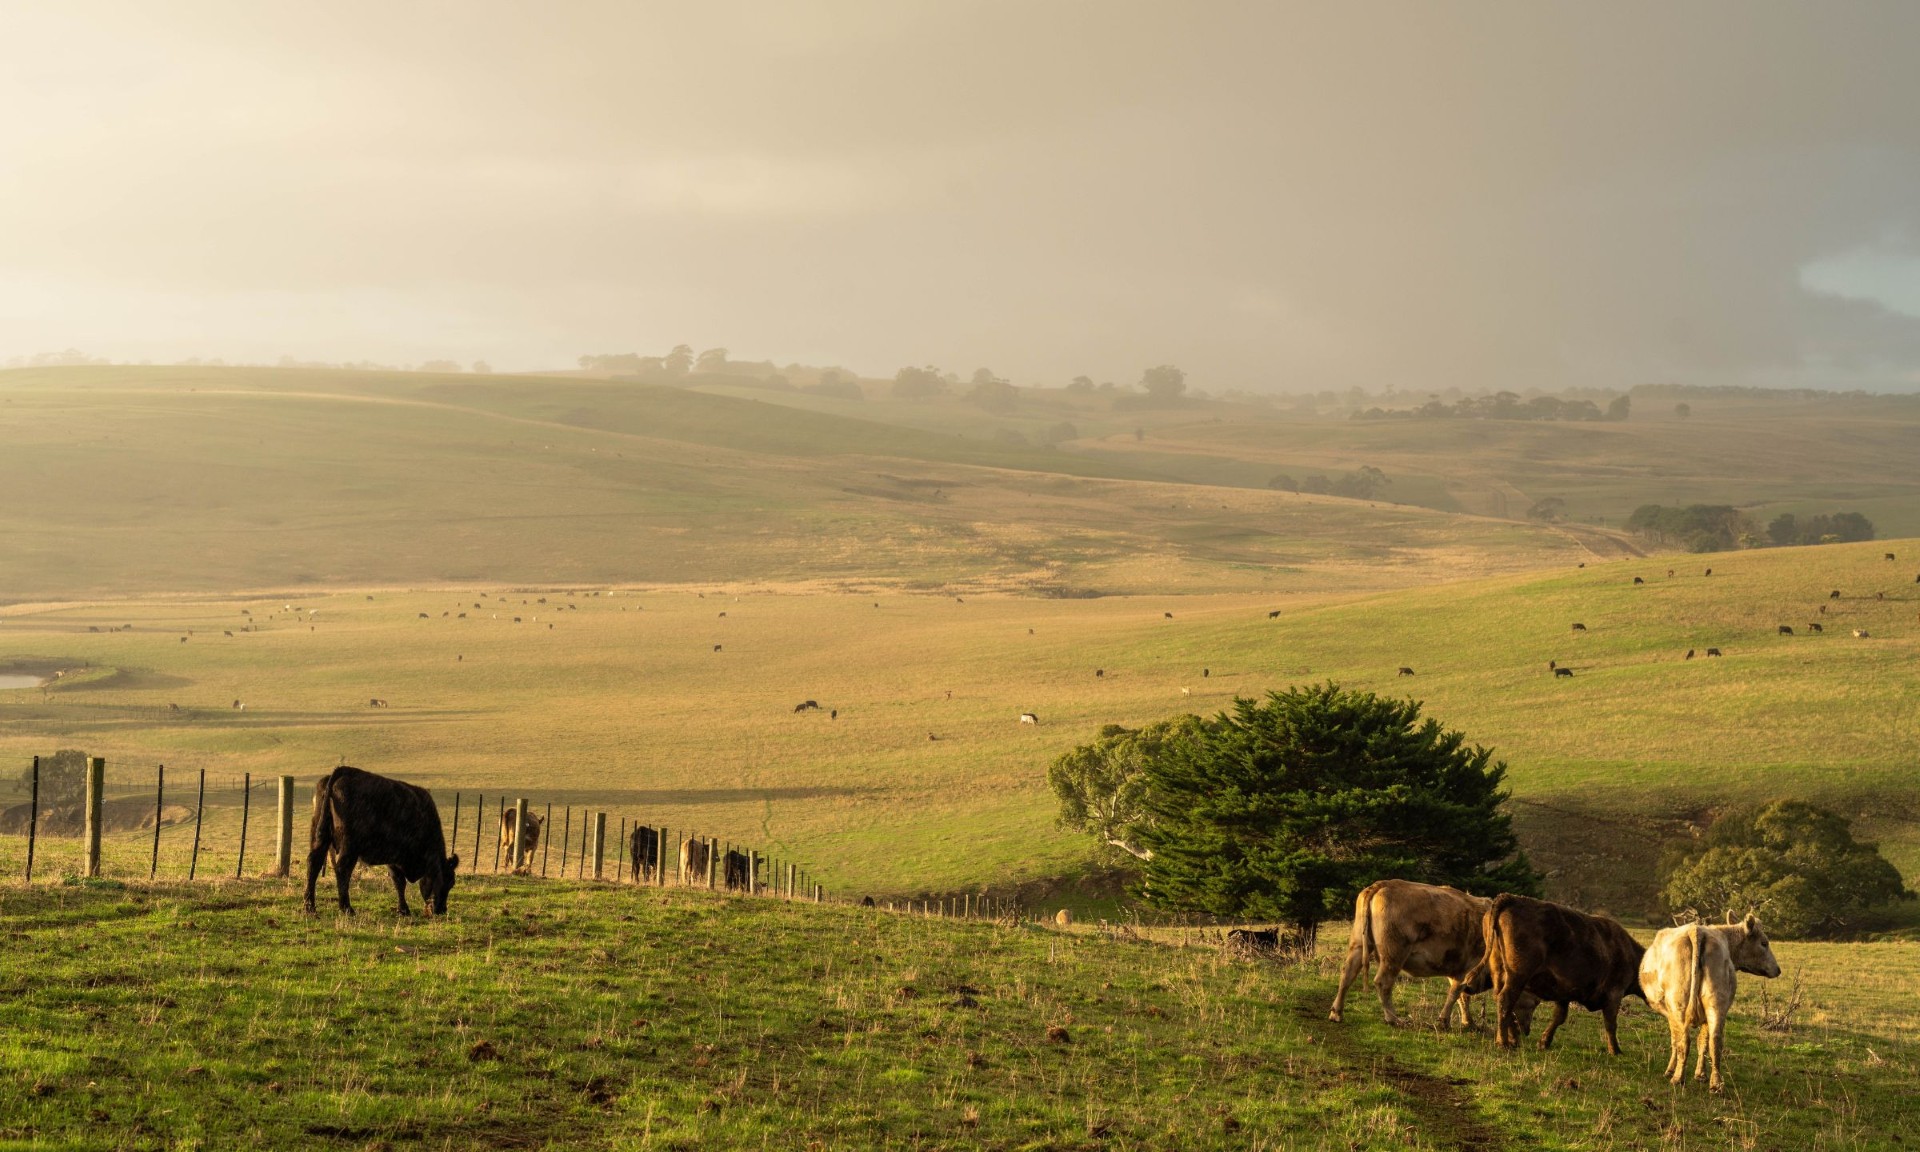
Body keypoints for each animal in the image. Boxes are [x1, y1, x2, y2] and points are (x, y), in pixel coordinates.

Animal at [304, 765, 458, 916]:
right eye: (447, 881)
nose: (442, 910)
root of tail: (343, 771)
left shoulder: (392, 858)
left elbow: (398, 882)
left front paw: (402, 910)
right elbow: (400, 881)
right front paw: (404, 909)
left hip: (320, 837)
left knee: (314, 863)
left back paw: (310, 907)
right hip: (350, 846)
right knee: (342, 869)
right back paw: (347, 908)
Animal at [1329, 880, 1536, 1031]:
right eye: (1531, 1002)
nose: (1524, 1028)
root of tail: (1380, 885)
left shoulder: (1458, 969)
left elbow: (1462, 996)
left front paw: (1468, 1022)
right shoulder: (1468, 968)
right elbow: (1456, 993)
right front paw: (1444, 1021)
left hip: (1358, 945)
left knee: (1347, 974)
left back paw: (1336, 1013)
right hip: (1394, 955)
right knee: (1382, 983)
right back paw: (1393, 1019)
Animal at [1483, 893, 1644, 1052]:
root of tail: (1511, 898)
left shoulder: (1563, 992)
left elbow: (1559, 1017)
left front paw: (1544, 1042)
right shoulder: (1614, 994)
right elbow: (1611, 1024)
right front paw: (1615, 1050)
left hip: (1499, 972)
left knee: (1502, 1000)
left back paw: (1512, 1040)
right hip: (1518, 975)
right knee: (1505, 1000)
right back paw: (1503, 1043)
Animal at [1640, 916, 1781, 1091]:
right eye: (1764, 943)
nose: (1778, 969)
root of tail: (1697, 930)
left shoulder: (1670, 1013)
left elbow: (1675, 1040)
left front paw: (1670, 1070)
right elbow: (1703, 1041)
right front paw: (1700, 1075)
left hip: (1679, 1003)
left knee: (1684, 1041)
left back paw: (1677, 1078)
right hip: (1715, 1002)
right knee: (1715, 1040)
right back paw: (1715, 1084)